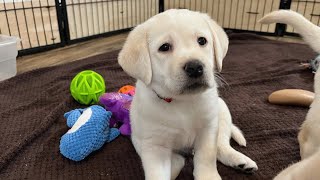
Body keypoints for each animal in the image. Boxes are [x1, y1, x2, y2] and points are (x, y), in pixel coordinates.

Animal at [119, 9, 258, 179]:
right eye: (165, 47)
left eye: (202, 41)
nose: (195, 67)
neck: (182, 101)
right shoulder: (154, 146)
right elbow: (158, 172)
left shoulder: (208, 129)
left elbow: (207, 156)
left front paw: (208, 176)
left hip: (222, 111)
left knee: (222, 146)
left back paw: (240, 161)